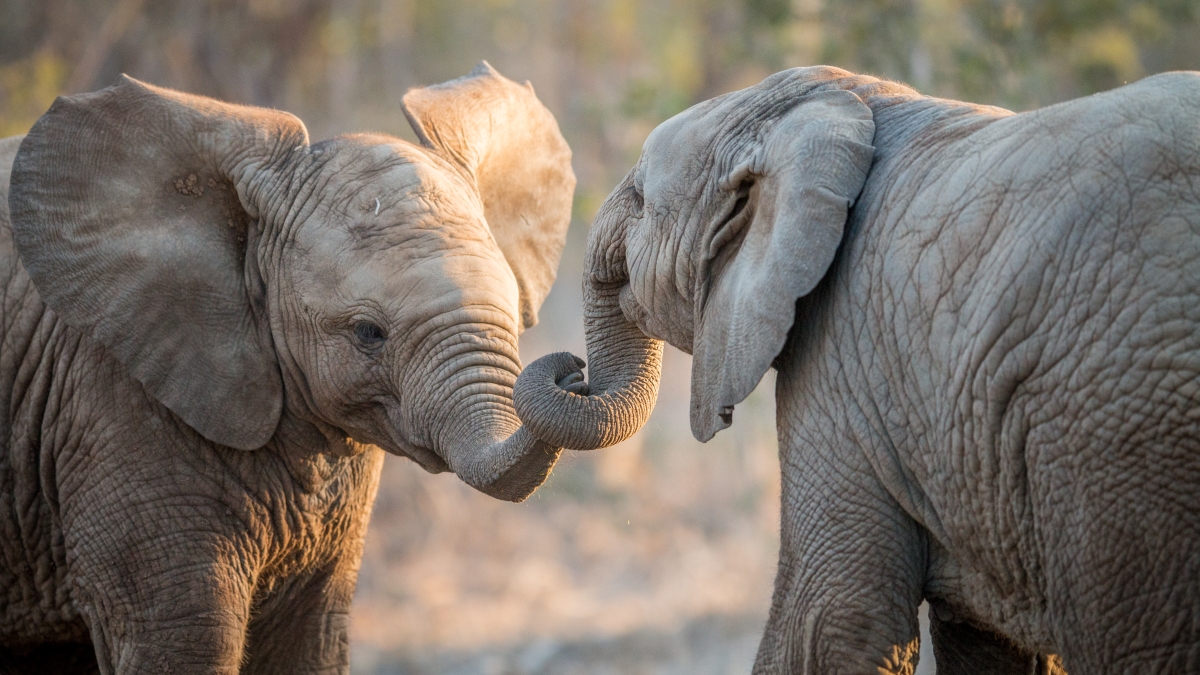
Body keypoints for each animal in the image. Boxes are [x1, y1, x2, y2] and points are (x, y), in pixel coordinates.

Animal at [0, 62, 577, 674]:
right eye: (368, 333)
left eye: (514, 309)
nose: (573, 373)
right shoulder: (107, 406)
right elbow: (185, 638)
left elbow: (310, 641)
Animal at [514, 65, 1200, 673]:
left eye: (640, 201)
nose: (570, 369)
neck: (849, 103)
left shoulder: (839, 354)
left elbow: (827, 623)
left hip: (1118, 431)